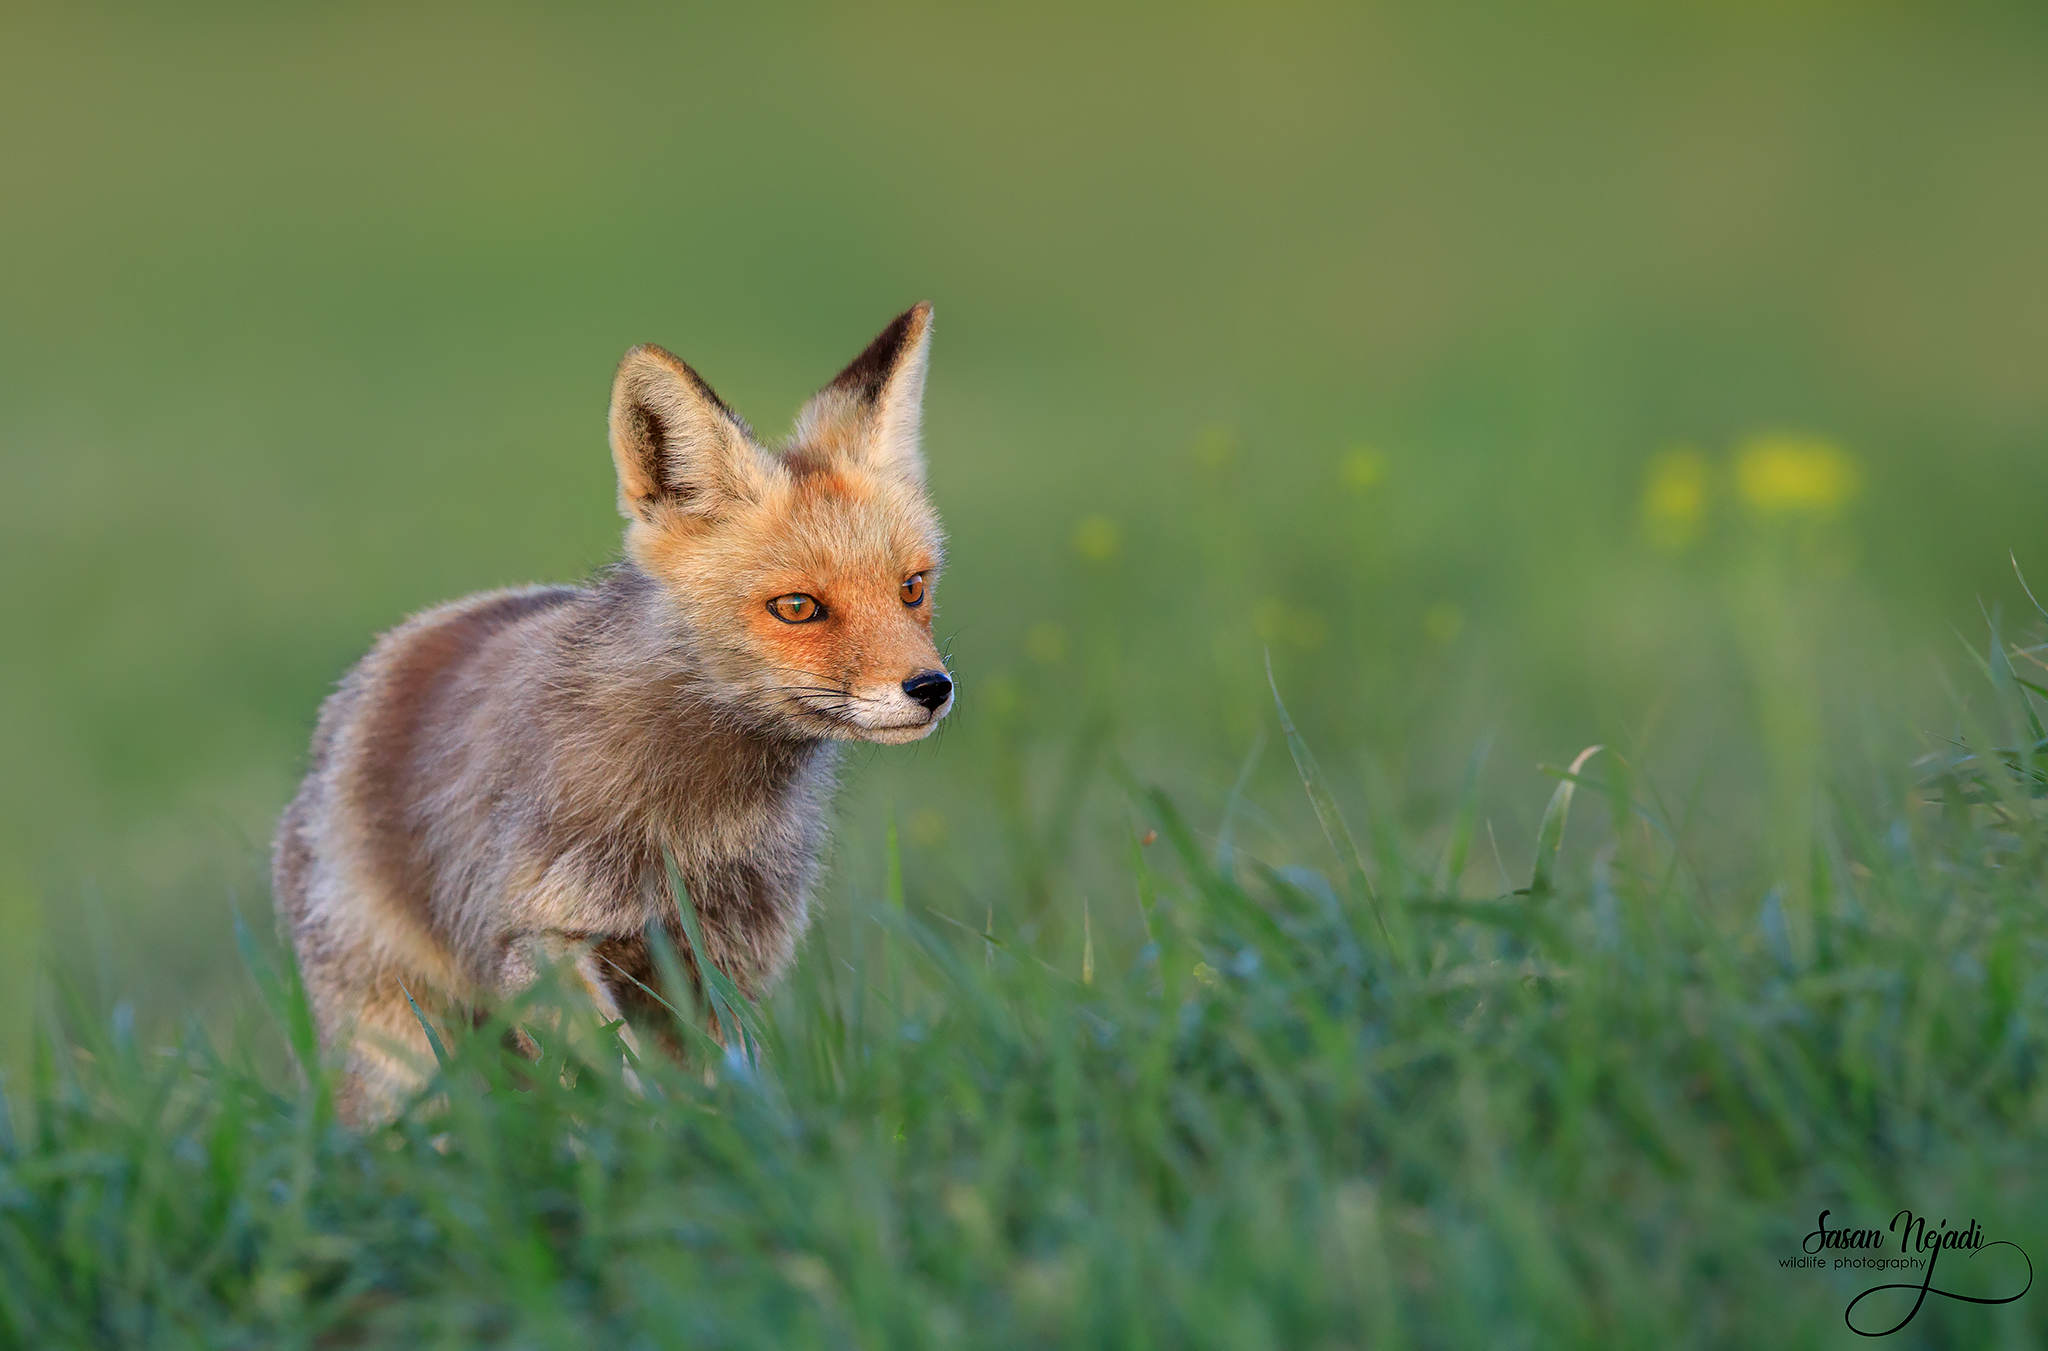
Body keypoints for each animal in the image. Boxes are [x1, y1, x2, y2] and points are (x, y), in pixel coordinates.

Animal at [272, 303, 952, 1124]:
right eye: (797, 607)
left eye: (913, 588)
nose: (932, 687)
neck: (694, 822)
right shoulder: (535, 935)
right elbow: (612, 1084)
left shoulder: (719, 962)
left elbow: (720, 1088)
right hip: (398, 1051)